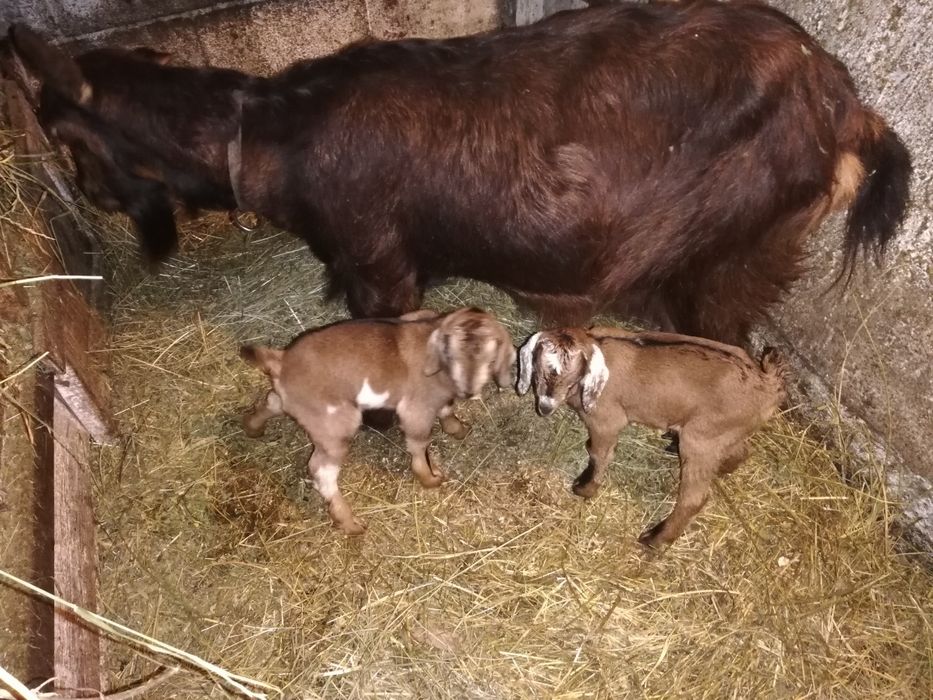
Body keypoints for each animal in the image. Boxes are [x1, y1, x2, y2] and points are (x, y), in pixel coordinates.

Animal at [10, 0, 912, 344]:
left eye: (59, 132)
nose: (84, 196)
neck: (270, 129)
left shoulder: (377, 260)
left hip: (734, 252)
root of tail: (845, 108)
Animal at [240, 307, 515, 534]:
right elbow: (419, 442)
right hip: (335, 422)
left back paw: (252, 427)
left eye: (490, 359)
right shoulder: (416, 408)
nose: (468, 391)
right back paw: (349, 523)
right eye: (452, 354)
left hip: (298, 404)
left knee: (273, 401)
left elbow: (446, 409)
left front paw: (457, 429)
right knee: (321, 470)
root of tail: (282, 361)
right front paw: (429, 478)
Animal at [517, 326, 787, 547]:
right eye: (539, 372)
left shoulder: (607, 421)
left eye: (571, 378)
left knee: (694, 498)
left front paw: (585, 488)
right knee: (742, 451)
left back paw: (654, 540)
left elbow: (599, 454)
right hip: (724, 432)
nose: (545, 407)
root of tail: (767, 382)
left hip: (701, 439)